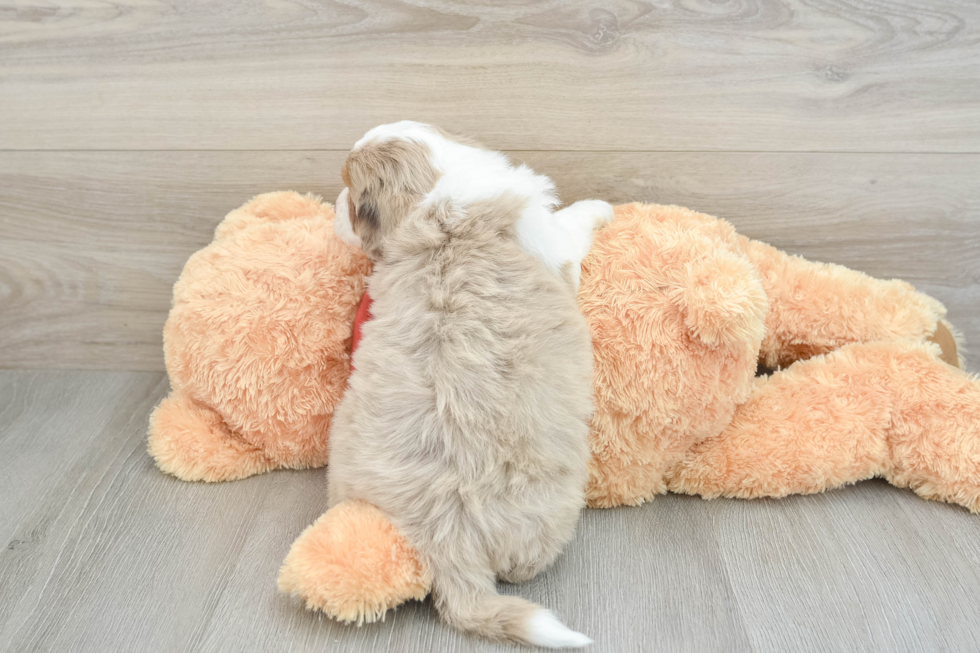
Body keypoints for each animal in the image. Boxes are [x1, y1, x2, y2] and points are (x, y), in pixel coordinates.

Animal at [330, 122, 612, 648]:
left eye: (352, 197)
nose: (334, 204)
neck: (436, 194)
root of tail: (449, 542)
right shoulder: (554, 243)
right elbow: (573, 222)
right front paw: (601, 206)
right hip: (552, 517)